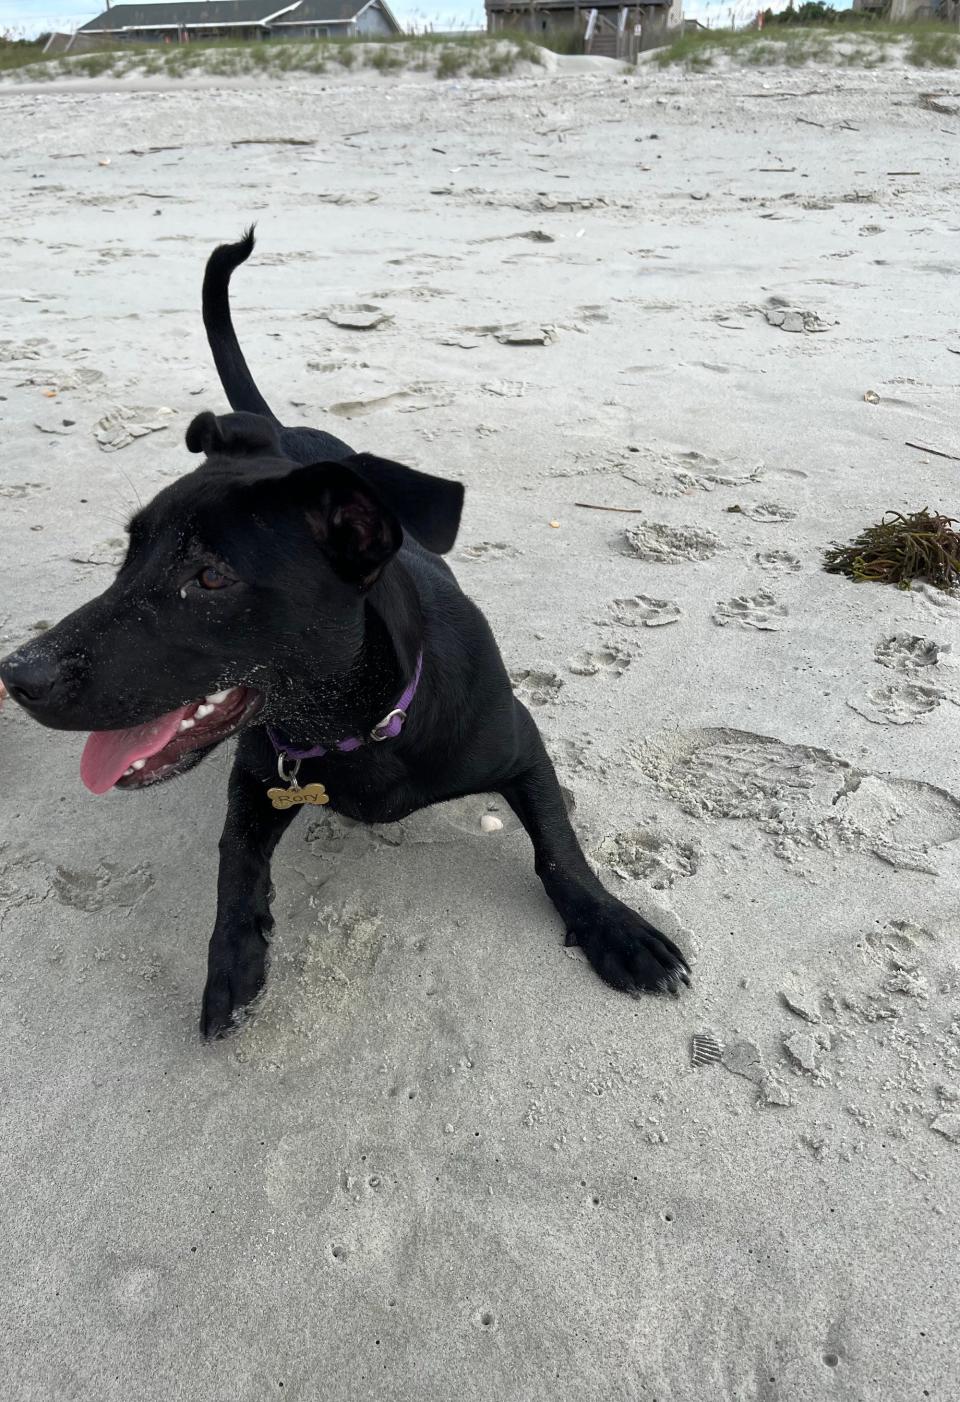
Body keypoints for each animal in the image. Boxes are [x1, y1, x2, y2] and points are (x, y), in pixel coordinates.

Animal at [1, 232, 689, 1043]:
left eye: (210, 577)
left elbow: (559, 848)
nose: (16, 674)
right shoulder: (254, 780)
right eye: (130, 551)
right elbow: (234, 865)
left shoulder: (521, 746)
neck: (359, 721)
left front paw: (614, 927)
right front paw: (232, 958)